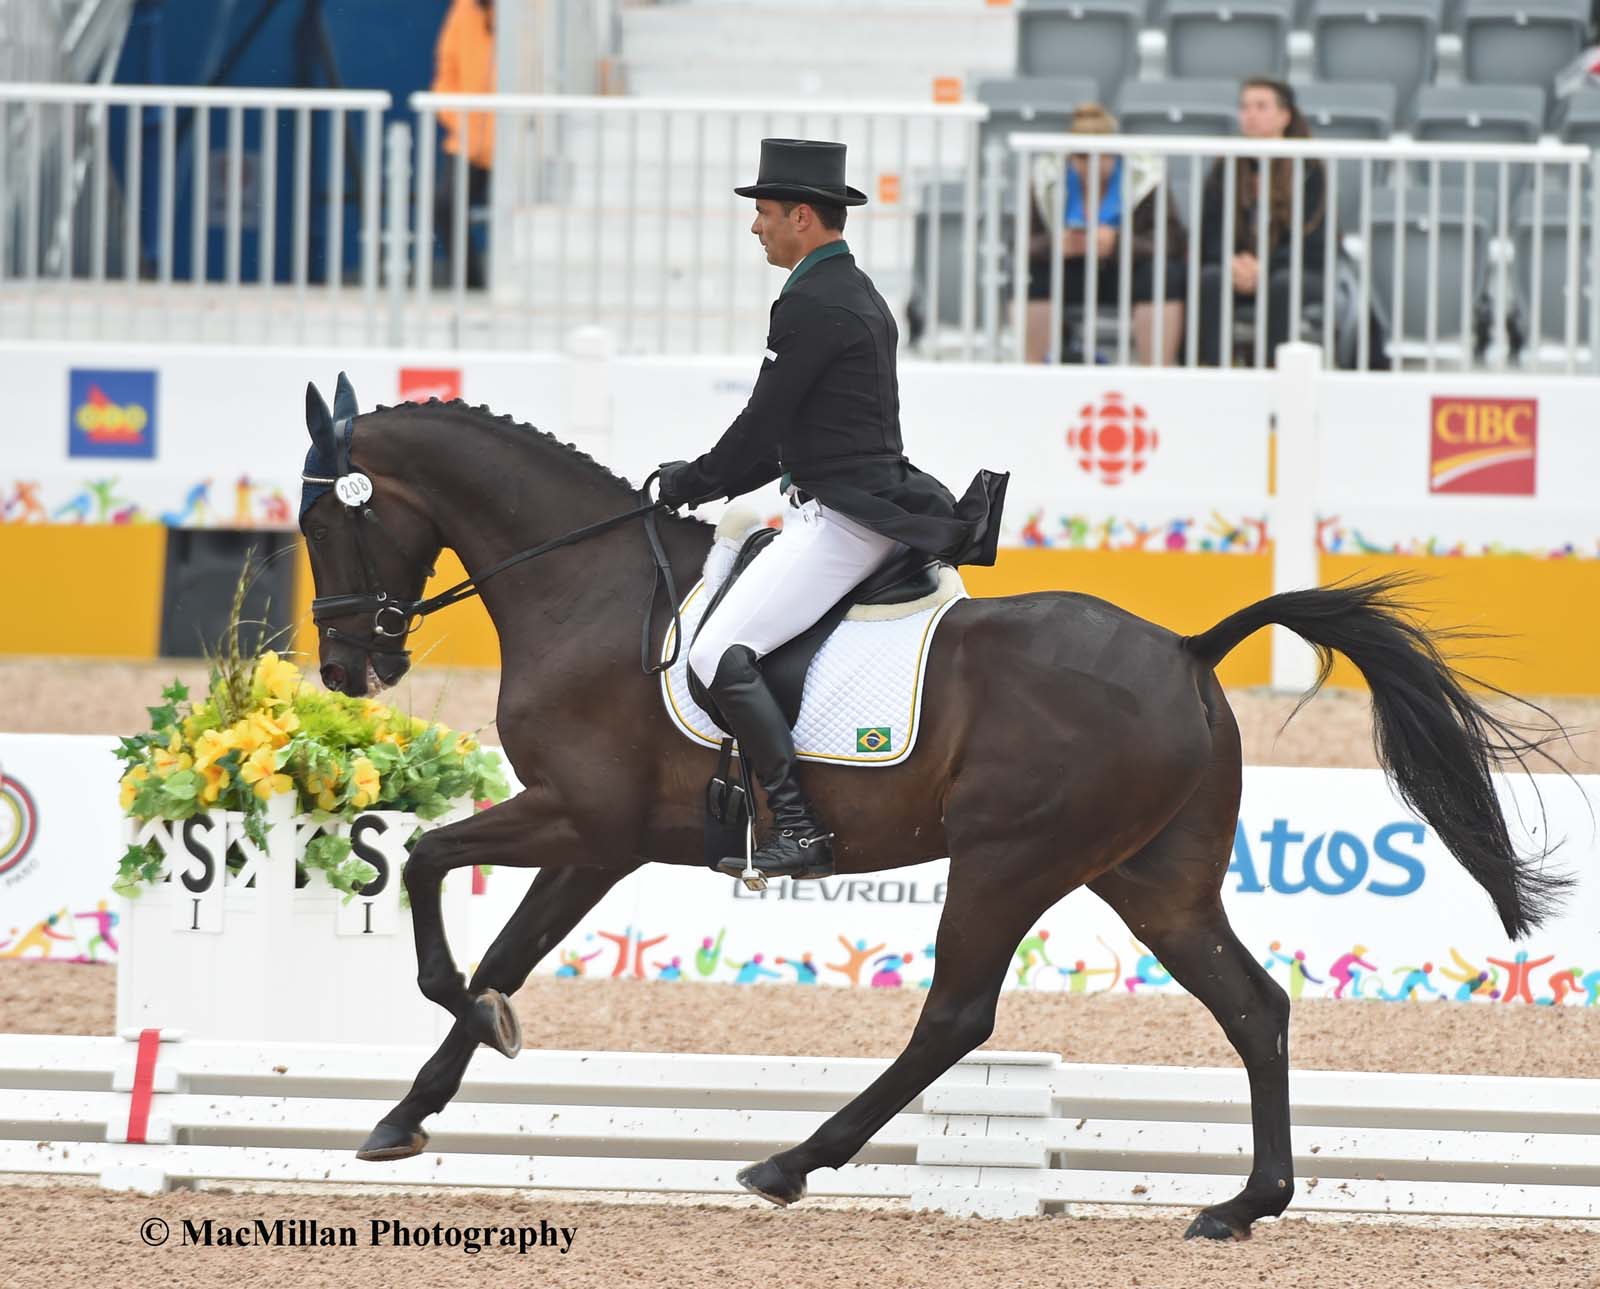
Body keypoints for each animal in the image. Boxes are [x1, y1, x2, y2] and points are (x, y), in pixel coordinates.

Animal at [297, 380, 1561, 1241]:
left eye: (323, 526)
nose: (349, 671)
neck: (590, 591)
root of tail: (1187, 650)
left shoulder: (579, 818)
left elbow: (426, 864)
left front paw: (462, 1027)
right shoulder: (601, 842)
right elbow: (502, 944)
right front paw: (410, 1110)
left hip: (1009, 858)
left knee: (955, 1014)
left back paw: (791, 1161)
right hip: (1154, 877)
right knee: (1253, 1006)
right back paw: (1243, 1203)